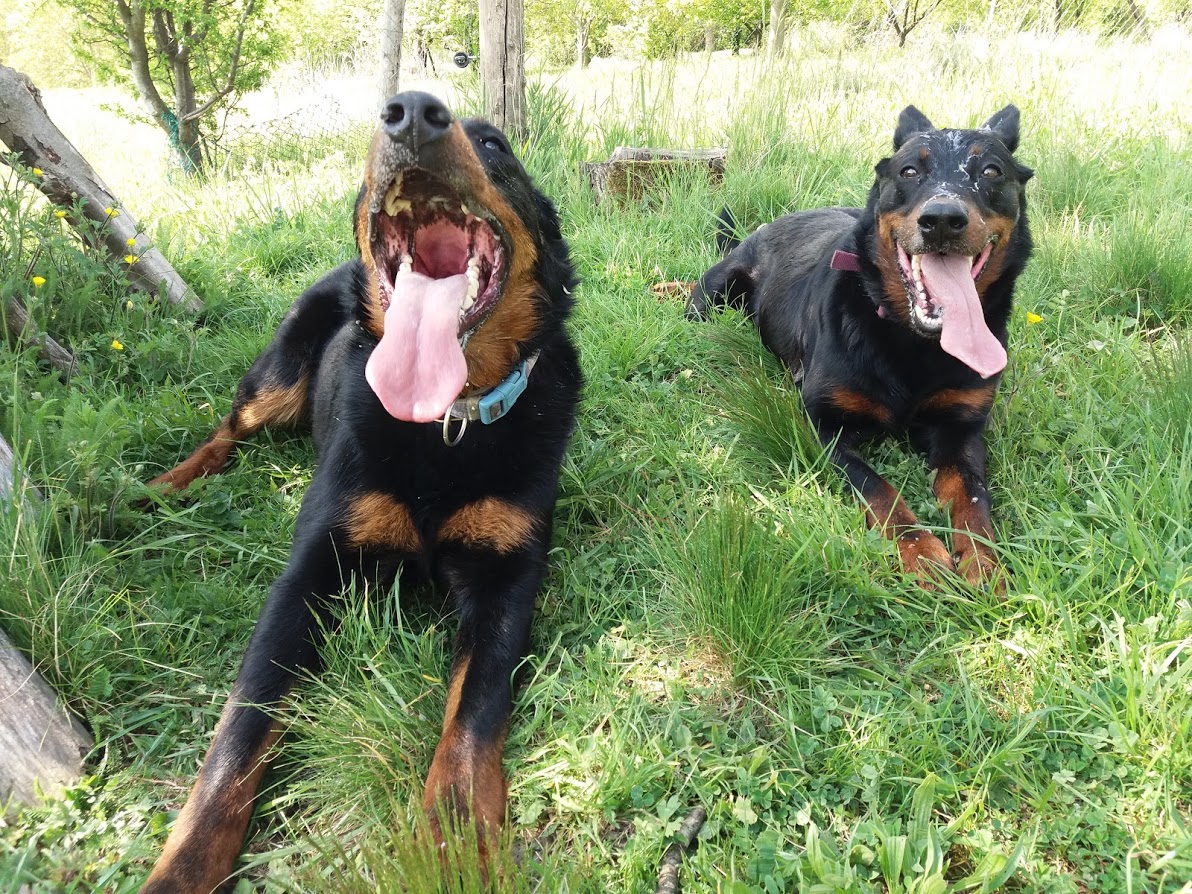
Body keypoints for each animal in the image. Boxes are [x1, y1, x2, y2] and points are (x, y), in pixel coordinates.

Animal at [139, 92, 581, 894]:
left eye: (495, 144)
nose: (412, 113)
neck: (442, 421)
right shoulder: (307, 575)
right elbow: (236, 736)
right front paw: (181, 871)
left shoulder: (507, 576)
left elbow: (472, 719)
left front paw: (452, 845)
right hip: (278, 379)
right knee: (228, 427)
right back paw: (159, 489)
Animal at [691, 104, 1034, 591]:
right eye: (909, 171)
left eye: (991, 171)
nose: (942, 219)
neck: (912, 343)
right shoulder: (823, 426)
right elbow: (880, 489)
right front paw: (922, 552)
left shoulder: (962, 428)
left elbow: (972, 498)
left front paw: (984, 563)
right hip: (713, 293)